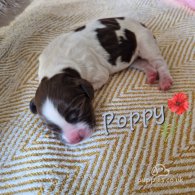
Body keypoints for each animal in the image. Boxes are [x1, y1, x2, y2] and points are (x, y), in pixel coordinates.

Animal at [29, 16, 173, 145]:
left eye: (77, 110)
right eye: (51, 127)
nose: (75, 139)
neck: (56, 67)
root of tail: (140, 23)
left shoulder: (99, 74)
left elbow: (94, 85)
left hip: (145, 43)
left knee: (159, 62)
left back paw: (165, 80)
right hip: (130, 55)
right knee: (141, 63)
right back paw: (151, 74)